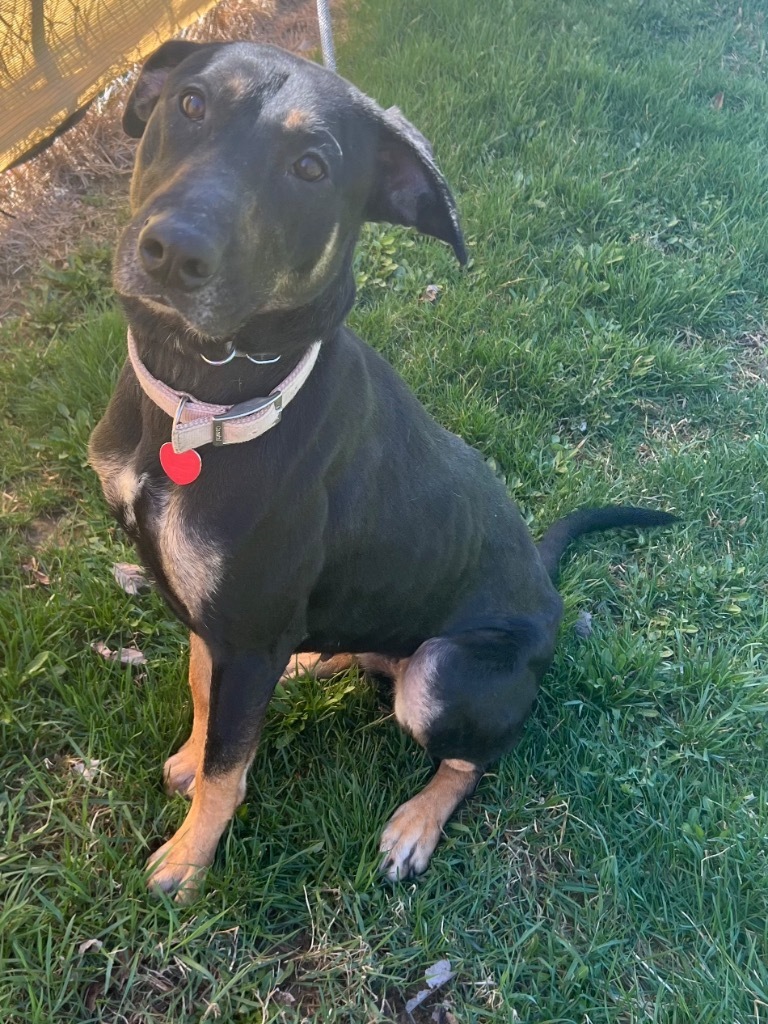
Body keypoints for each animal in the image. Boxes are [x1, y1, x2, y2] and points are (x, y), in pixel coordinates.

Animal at [90, 39, 675, 901]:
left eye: (311, 166)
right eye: (191, 103)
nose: (173, 252)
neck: (200, 403)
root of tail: (546, 583)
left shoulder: (247, 628)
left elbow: (232, 764)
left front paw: (189, 860)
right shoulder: (219, 619)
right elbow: (204, 693)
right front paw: (191, 763)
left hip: (441, 671)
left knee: (474, 757)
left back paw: (414, 824)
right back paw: (312, 663)